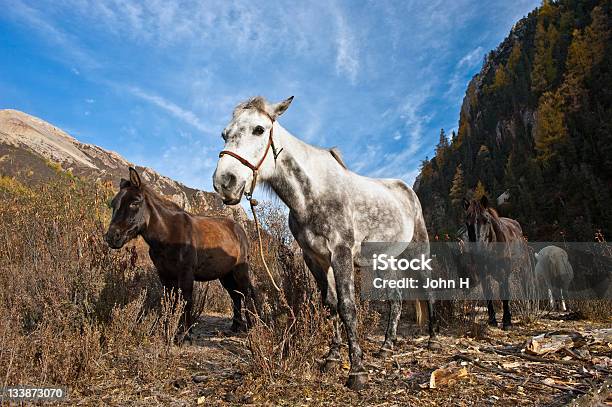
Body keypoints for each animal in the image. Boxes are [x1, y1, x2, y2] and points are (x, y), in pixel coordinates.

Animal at [106, 167, 255, 334]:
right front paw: (168, 330)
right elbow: (170, 303)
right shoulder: (165, 275)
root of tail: (239, 230)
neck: (168, 234)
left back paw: (251, 327)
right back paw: (236, 326)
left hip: (239, 270)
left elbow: (186, 302)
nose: (111, 237)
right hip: (225, 274)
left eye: (135, 203)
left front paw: (184, 333)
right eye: (113, 204)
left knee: (246, 293)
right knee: (236, 295)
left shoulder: (186, 274)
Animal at [464, 196, 524, 330]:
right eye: (467, 223)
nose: (479, 249)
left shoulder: (503, 274)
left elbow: (504, 294)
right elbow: (488, 294)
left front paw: (507, 322)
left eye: (486, 220)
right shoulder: (483, 275)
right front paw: (492, 320)